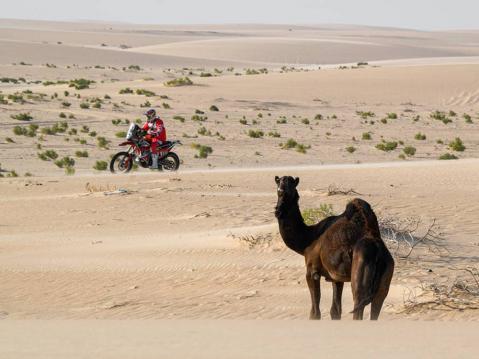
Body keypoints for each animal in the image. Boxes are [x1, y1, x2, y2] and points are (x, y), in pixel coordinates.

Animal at [276, 176, 396, 320]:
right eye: (278, 187)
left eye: (292, 189)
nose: (278, 210)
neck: (308, 238)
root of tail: (378, 252)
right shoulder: (336, 277)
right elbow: (335, 311)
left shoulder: (312, 270)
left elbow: (315, 313)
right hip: (385, 282)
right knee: (376, 306)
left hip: (360, 276)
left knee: (358, 306)